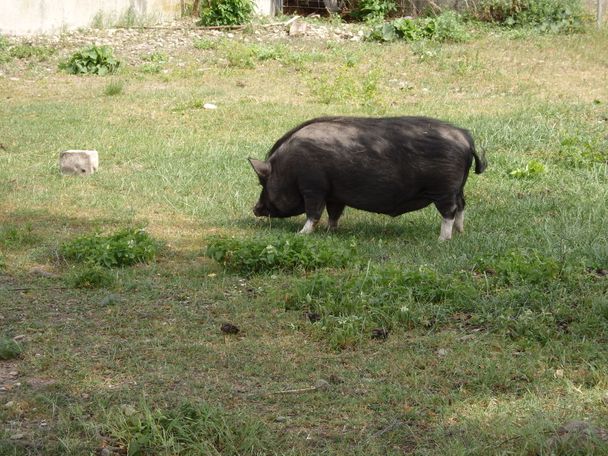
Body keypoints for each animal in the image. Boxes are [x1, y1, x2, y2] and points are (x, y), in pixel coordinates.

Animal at [247, 116, 484, 240]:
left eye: (263, 181)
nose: (255, 209)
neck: (287, 168)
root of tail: (465, 138)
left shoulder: (313, 187)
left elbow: (313, 212)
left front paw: (301, 234)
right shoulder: (334, 194)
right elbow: (334, 213)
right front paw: (331, 231)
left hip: (444, 189)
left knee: (449, 211)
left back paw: (443, 239)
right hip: (458, 188)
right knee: (462, 205)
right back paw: (460, 232)